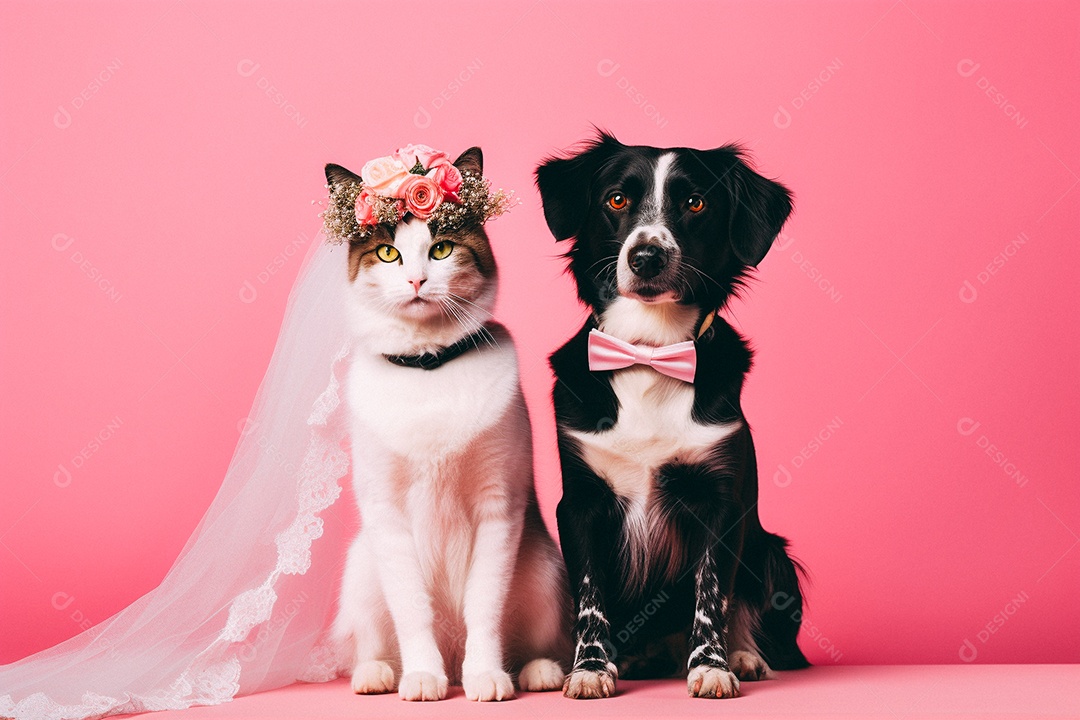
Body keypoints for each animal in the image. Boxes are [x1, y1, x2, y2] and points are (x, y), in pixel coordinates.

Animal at [324, 147, 570, 703]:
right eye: (388, 253)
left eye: (441, 249)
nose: (417, 280)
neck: (428, 366)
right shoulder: (387, 515)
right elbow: (413, 610)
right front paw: (421, 675)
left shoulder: (498, 509)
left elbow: (484, 607)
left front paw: (487, 675)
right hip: (361, 566)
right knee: (373, 640)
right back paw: (379, 674)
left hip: (544, 566)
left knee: (535, 640)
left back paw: (534, 670)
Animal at [535, 133, 807, 699]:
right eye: (617, 199)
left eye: (695, 203)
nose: (646, 257)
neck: (650, 351)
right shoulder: (581, 503)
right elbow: (589, 596)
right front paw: (590, 667)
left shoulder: (722, 504)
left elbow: (712, 593)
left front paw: (712, 665)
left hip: (772, 553)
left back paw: (746, 656)